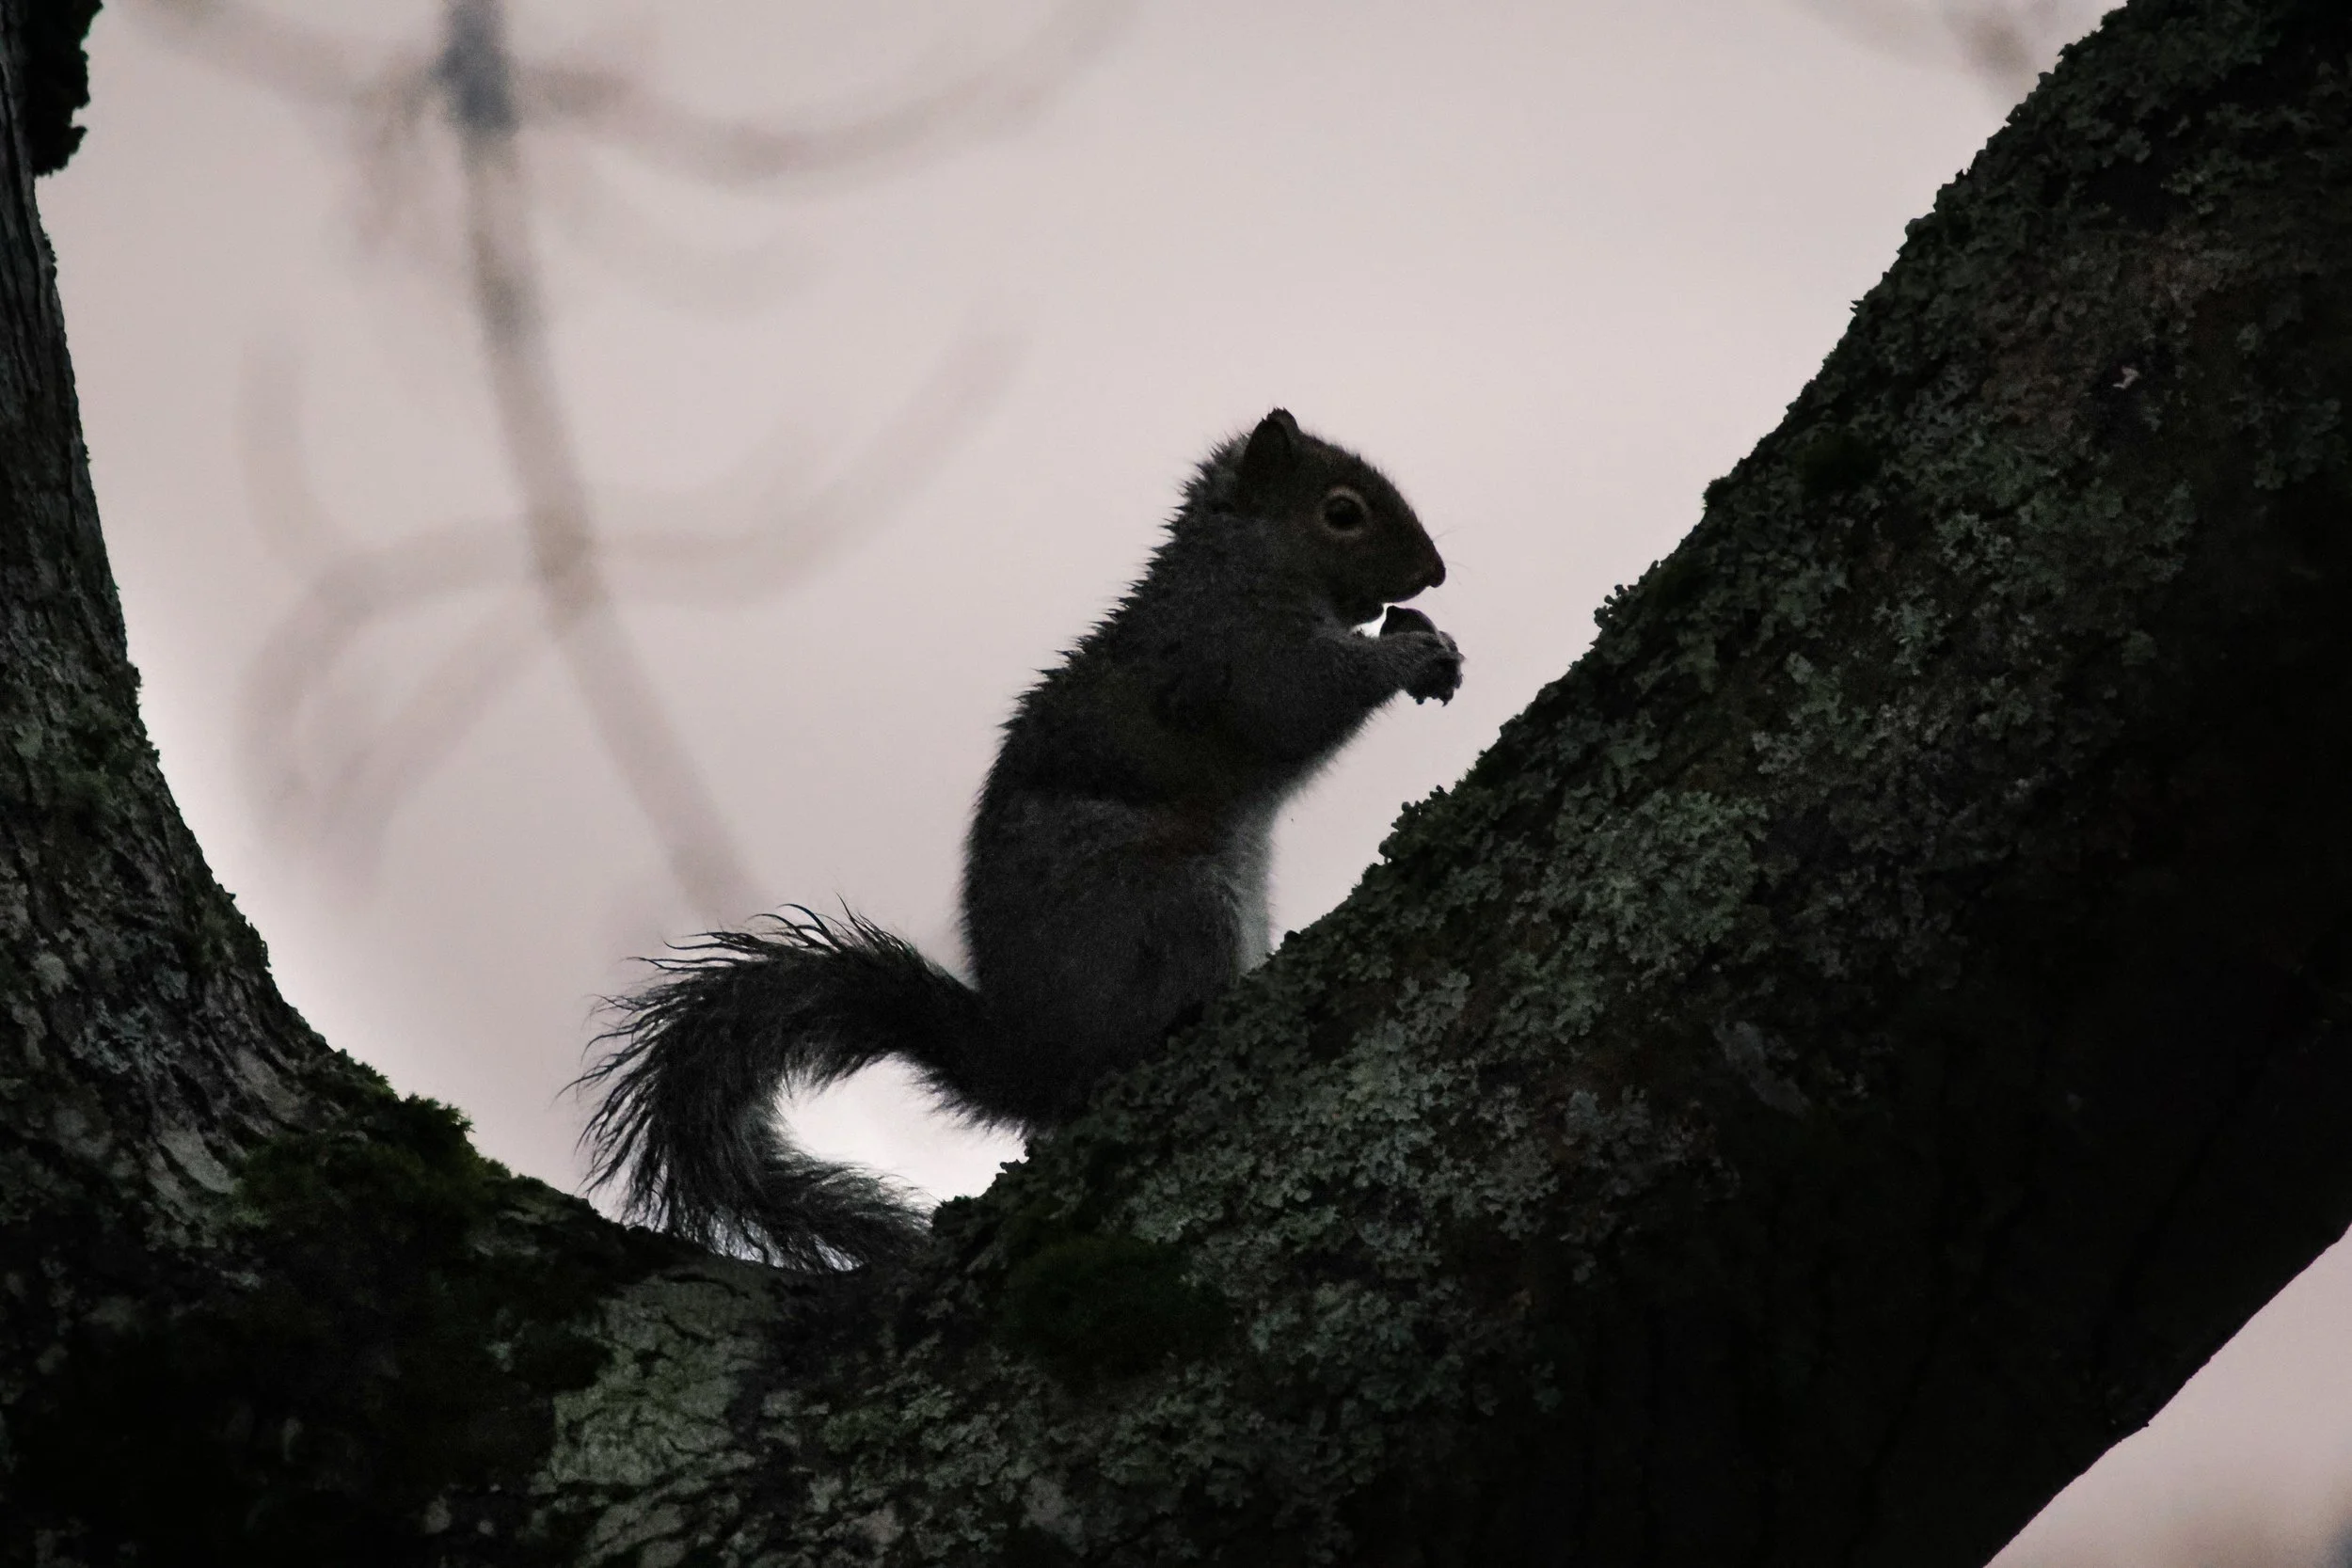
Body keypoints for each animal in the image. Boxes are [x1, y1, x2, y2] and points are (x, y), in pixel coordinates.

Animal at [578, 409, 1462, 1269]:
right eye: (1342, 512)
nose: (1435, 573)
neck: (1237, 564)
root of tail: (1031, 1058)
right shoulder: (1235, 652)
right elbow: (1302, 697)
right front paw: (1413, 650)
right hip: (1166, 903)